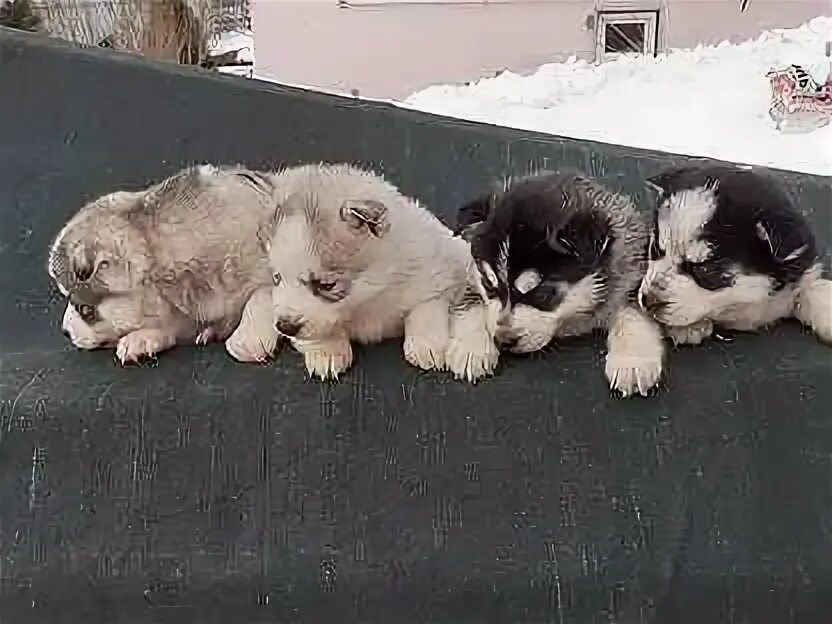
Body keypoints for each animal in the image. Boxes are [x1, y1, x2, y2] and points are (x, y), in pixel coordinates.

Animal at [260, 161, 498, 382]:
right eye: (277, 278)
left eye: (326, 285)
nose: (285, 326)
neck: (369, 297)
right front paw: (327, 348)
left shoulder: (439, 269)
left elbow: (427, 305)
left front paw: (426, 343)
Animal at [458, 171, 668, 398]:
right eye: (489, 286)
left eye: (542, 294)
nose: (503, 341)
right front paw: (471, 345)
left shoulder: (636, 273)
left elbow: (633, 311)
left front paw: (632, 362)